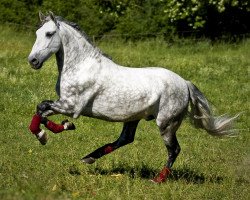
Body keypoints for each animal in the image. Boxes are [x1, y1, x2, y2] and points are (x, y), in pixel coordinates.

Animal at [27, 11, 238, 182]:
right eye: (37, 33)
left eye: (49, 33)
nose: (33, 61)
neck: (81, 66)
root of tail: (185, 83)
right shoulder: (63, 104)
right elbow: (41, 112)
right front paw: (59, 128)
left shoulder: (71, 106)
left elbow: (41, 107)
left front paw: (45, 135)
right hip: (133, 118)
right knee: (125, 139)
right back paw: (89, 157)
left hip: (166, 123)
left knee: (174, 149)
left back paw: (158, 179)